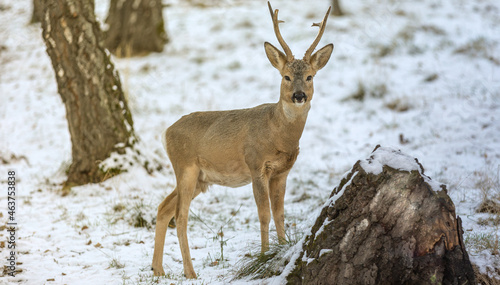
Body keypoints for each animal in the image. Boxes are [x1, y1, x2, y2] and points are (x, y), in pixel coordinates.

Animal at [151, 1, 332, 278]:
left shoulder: (282, 171)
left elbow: (280, 213)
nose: (299, 95)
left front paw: (282, 249)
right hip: (186, 166)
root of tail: (166, 132)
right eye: (286, 77)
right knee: (180, 216)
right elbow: (264, 213)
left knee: (164, 207)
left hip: (201, 177)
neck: (278, 134)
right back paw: (190, 273)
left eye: (310, 76)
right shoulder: (256, 164)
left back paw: (158, 270)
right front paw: (264, 255)